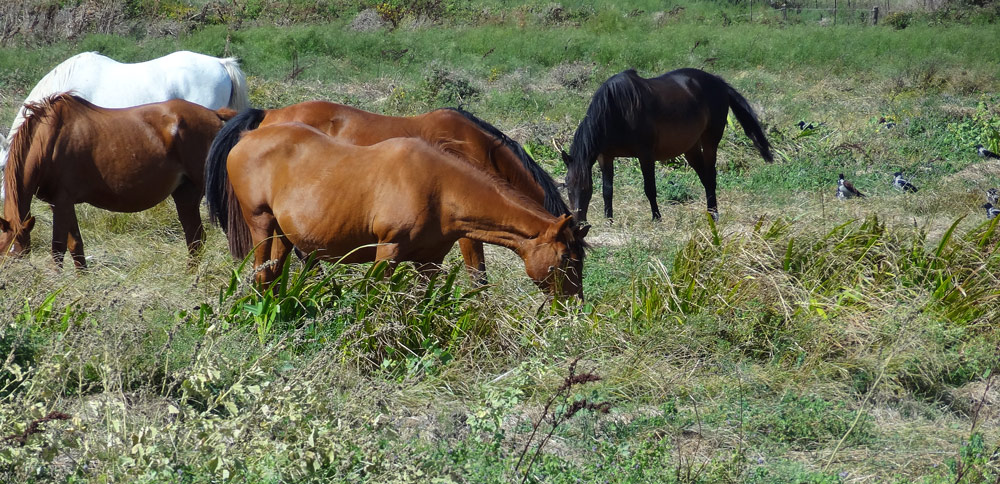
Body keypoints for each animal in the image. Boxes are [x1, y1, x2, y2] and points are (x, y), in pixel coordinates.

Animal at [0, 93, 234, 268]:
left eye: (15, 257)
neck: (49, 140)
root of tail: (216, 114)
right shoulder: (61, 204)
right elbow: (76, 246)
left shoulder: (62, 202)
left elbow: (58, 248)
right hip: (186, 195)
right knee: (196, 240)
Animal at [206, 122, 588, 298]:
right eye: (566, 258)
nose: (574, 303)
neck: (439, 188)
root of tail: (246, 137)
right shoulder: (387, 250)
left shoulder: (429, 262)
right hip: (261, 225)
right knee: (260, 275)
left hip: (285, 236)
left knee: (272, 276)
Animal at [564, 68, 772, 223]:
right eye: (567, 186)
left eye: (585, 187)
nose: (578, 221)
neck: (617, 110)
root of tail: (719, 83)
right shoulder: (605, 156)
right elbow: (607, 190)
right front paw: (609, 219)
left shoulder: (645, 155)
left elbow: (650, 188)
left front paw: (656, 217)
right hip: (691, 148)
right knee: (705, 178)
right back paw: (709, 211)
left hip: (710, 140)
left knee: (711, 177)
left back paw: (714, 215)